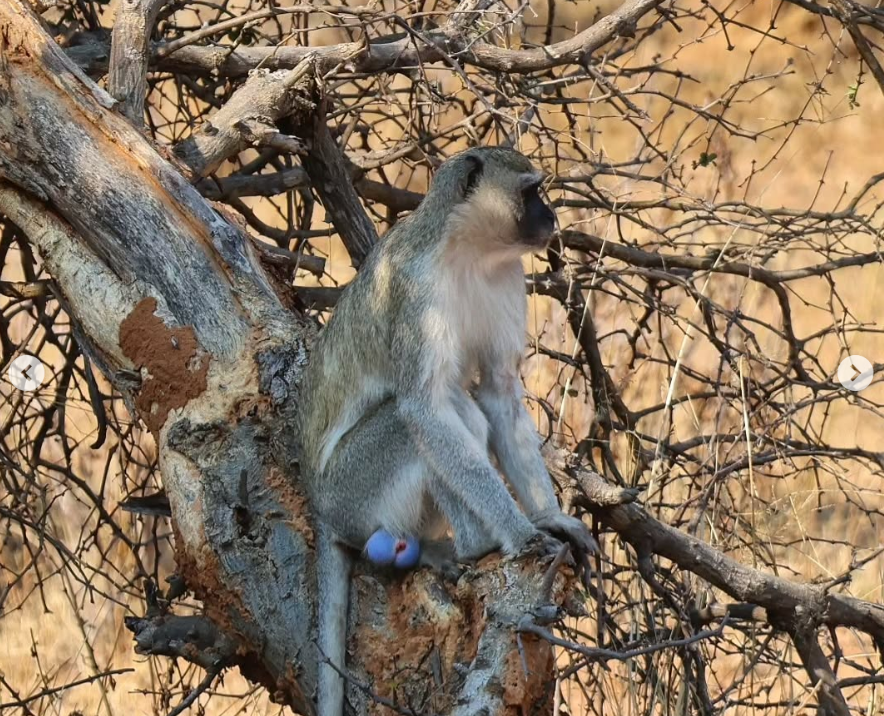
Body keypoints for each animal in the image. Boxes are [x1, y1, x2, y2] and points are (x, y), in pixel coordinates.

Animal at [300, 145, 596, 716]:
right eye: (531, 191)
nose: (550, 217)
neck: (467, 250)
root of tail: (320, 507)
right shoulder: (415, 292)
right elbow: (424, 408)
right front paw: (521, 532)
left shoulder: (508, 277)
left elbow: (500, 391)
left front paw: (548, 517)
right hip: (351, 491)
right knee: (415, 421)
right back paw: (474, 546)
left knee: (469, 412)